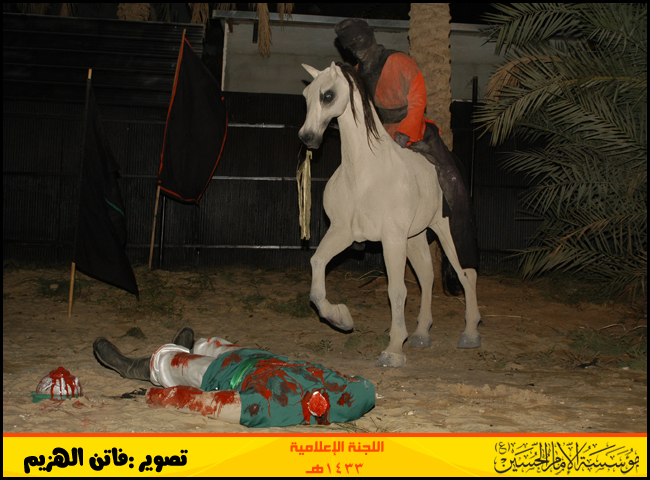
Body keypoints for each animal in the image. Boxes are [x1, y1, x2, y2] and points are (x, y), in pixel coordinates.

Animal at [298, 62, 481, 367]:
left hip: (447, 233)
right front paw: (340, 317)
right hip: (416, 237)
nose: (307, 137)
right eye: (306, 95)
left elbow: (396, 290)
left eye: (327, 95)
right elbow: (317, 266)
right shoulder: (342, 232)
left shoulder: (391, 239)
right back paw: (421, 334)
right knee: (427, 277)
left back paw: (470, 334)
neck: (364, 173)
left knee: (466, 274)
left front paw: (394, 350)